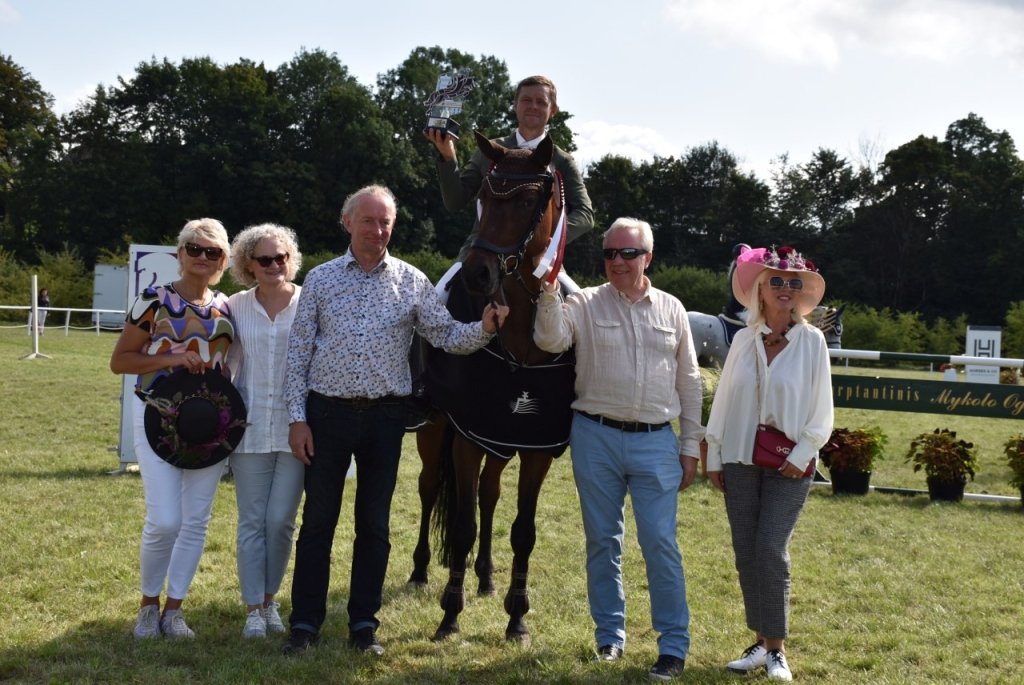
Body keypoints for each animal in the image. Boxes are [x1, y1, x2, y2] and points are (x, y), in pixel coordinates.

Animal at [413, 131, 577, 643]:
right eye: (484, 195)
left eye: (527, 201)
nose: (478, 274)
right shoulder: (466, 436)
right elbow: (462, 524)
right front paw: (449, 615)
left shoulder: (535, 445)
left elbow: (523, 529)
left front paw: (517, 617)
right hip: (436, 429)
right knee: (429, 487)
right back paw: (420, 571)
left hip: (500, 442)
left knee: (489, 494)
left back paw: (485, 575)